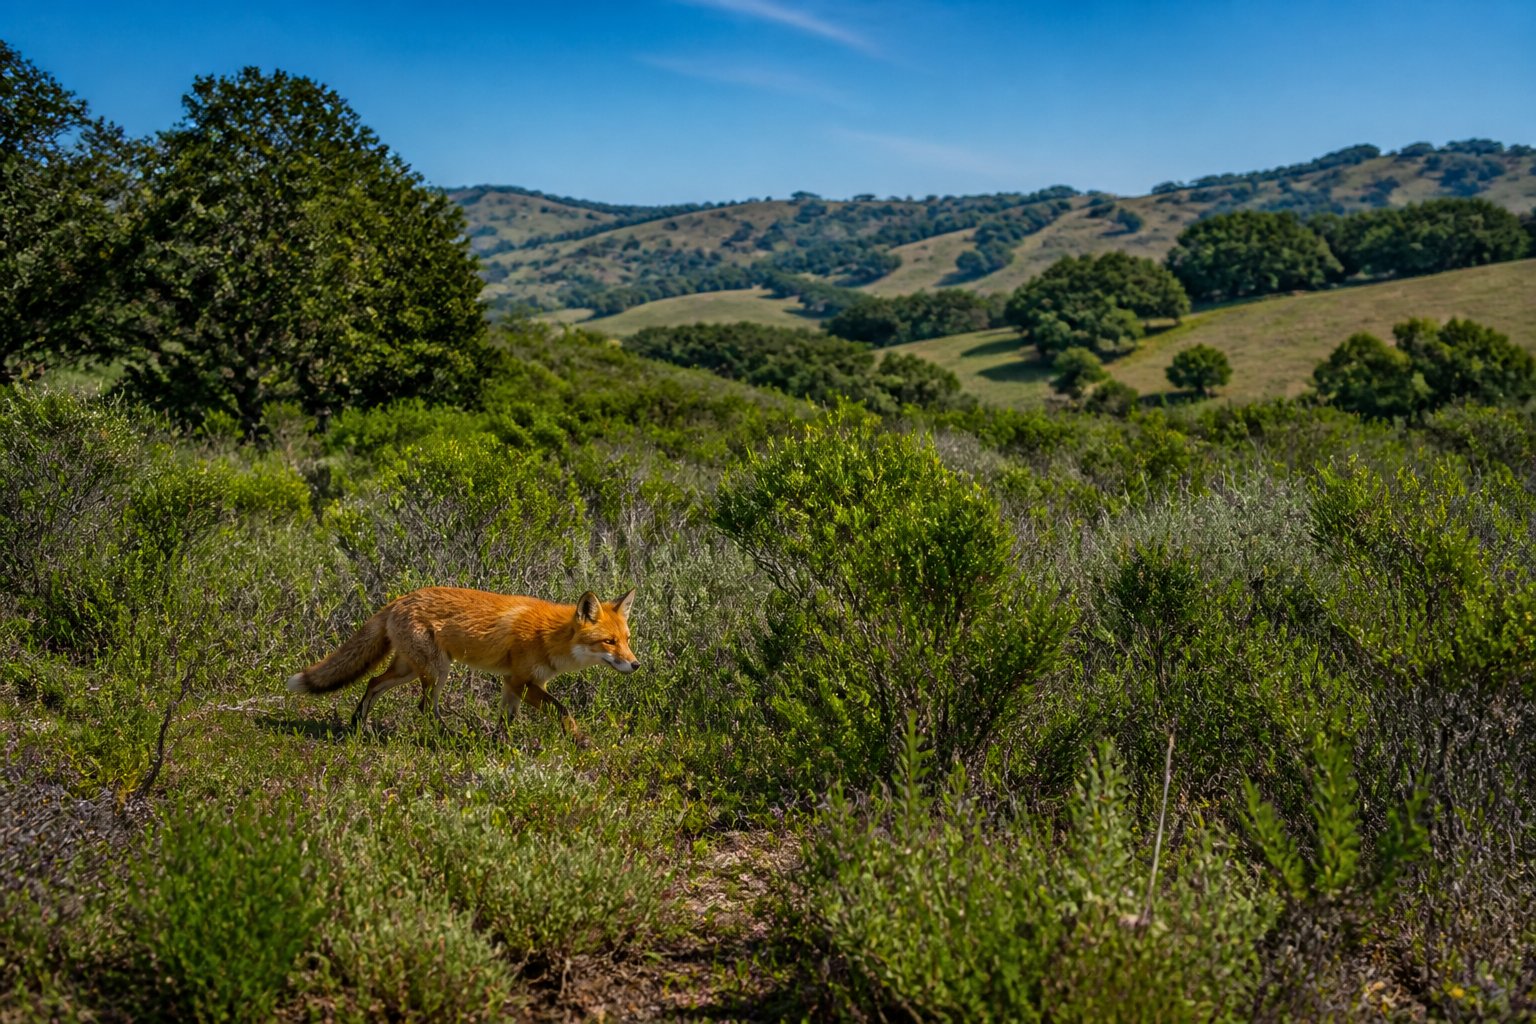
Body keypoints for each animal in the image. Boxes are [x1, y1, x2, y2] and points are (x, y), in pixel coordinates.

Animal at [286, 586, 638, 747]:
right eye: (609, 642)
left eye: (626, 639)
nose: (635, 665)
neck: (550, 636)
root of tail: (399, 599)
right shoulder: (523, 682)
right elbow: (563, 709)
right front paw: (580, 741)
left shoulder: (514, 684)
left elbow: (506, 721)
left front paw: (501, 747)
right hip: (437, 671)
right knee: (425, 708)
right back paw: (452, 738)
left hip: (408, 670)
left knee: (372, 683)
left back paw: (358, 725)